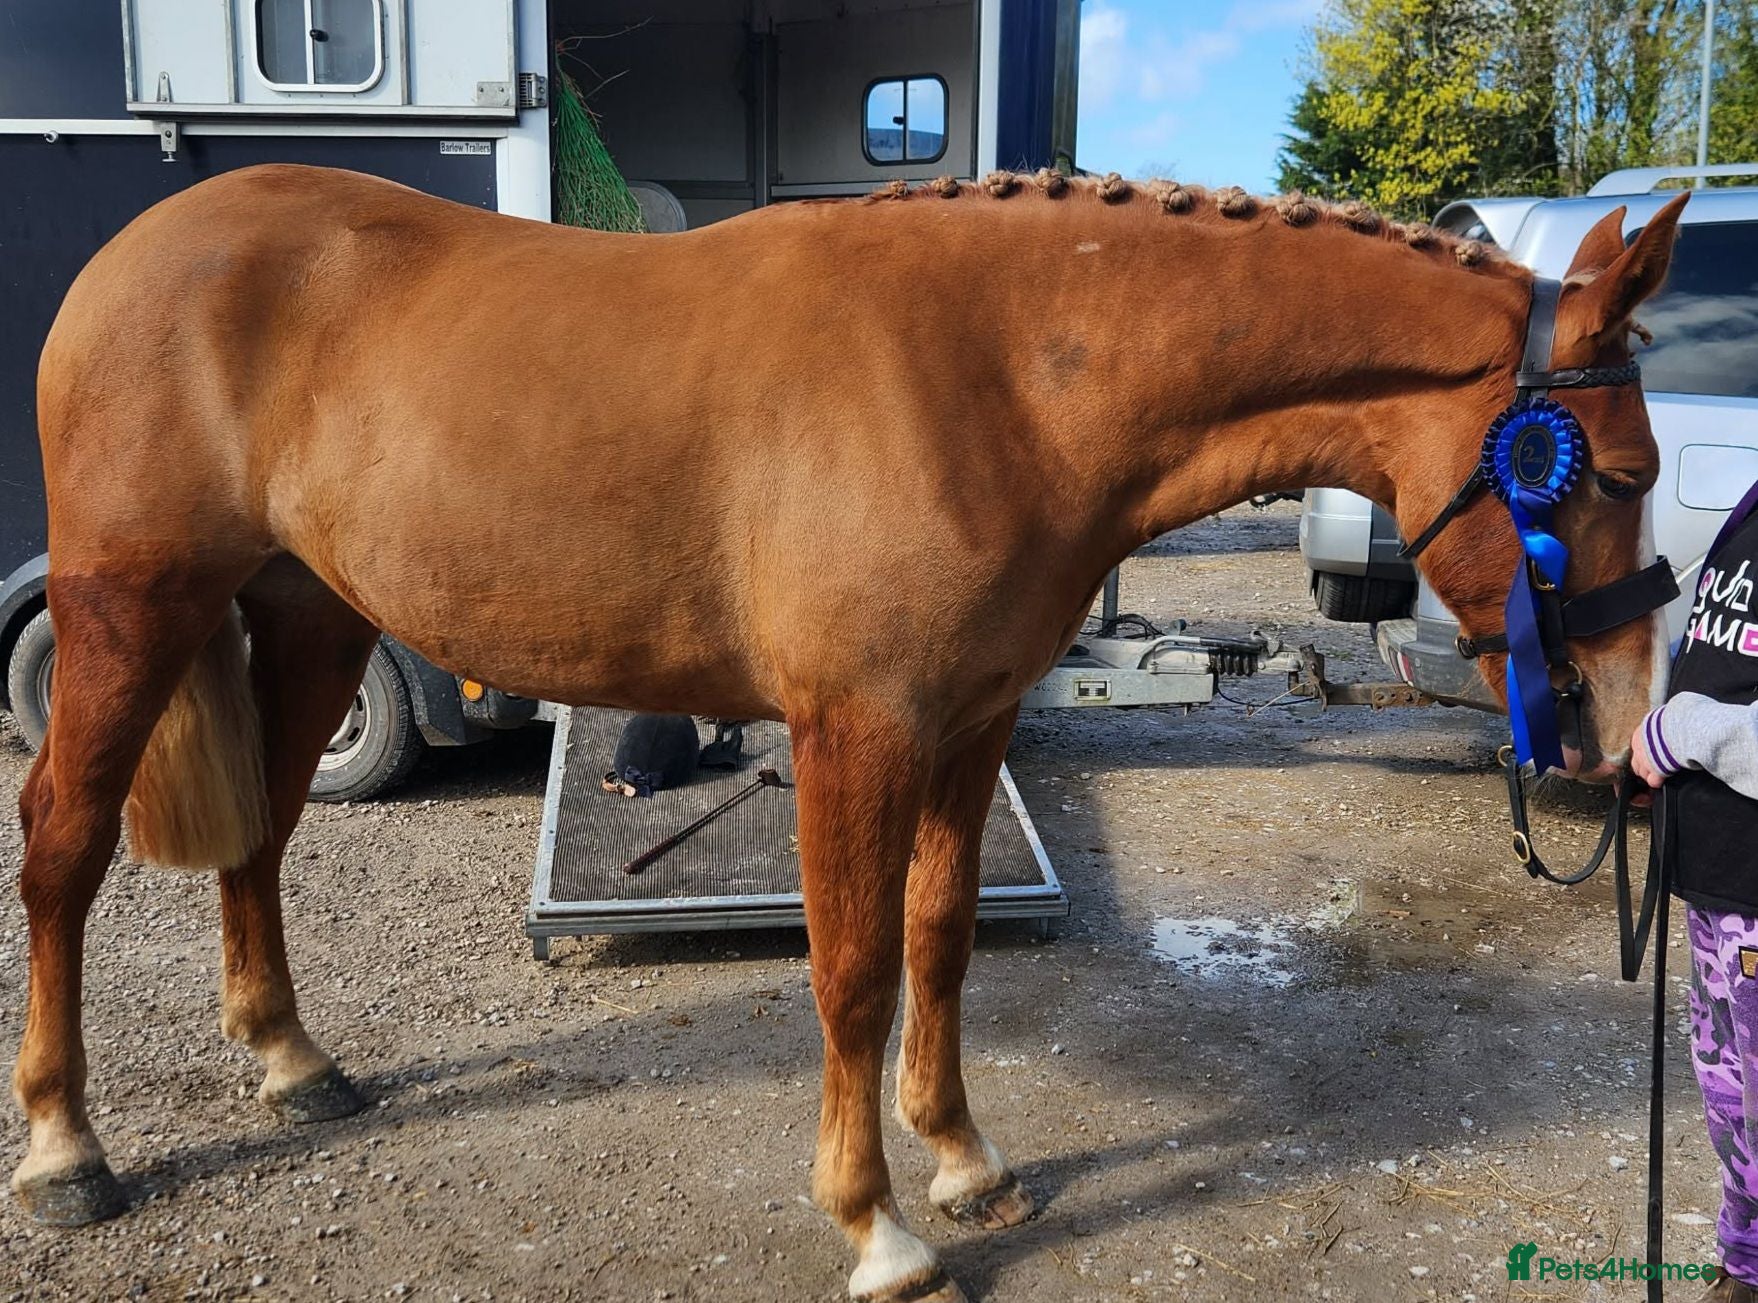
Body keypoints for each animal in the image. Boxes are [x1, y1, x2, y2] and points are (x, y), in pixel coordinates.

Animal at [11, 164, 1686, 1302]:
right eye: (1604, 471)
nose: (1617, 719)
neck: (999, 370)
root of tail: (136, 252)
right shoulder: (856, 730)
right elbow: (857, 967)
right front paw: (877, 1227)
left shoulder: (967, 721)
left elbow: (940, 935)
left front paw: (964, 1161)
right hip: (130, 607)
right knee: (62, 847)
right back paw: (66, 1149)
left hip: (304, 613)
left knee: (262, 832)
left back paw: (292, 1061)